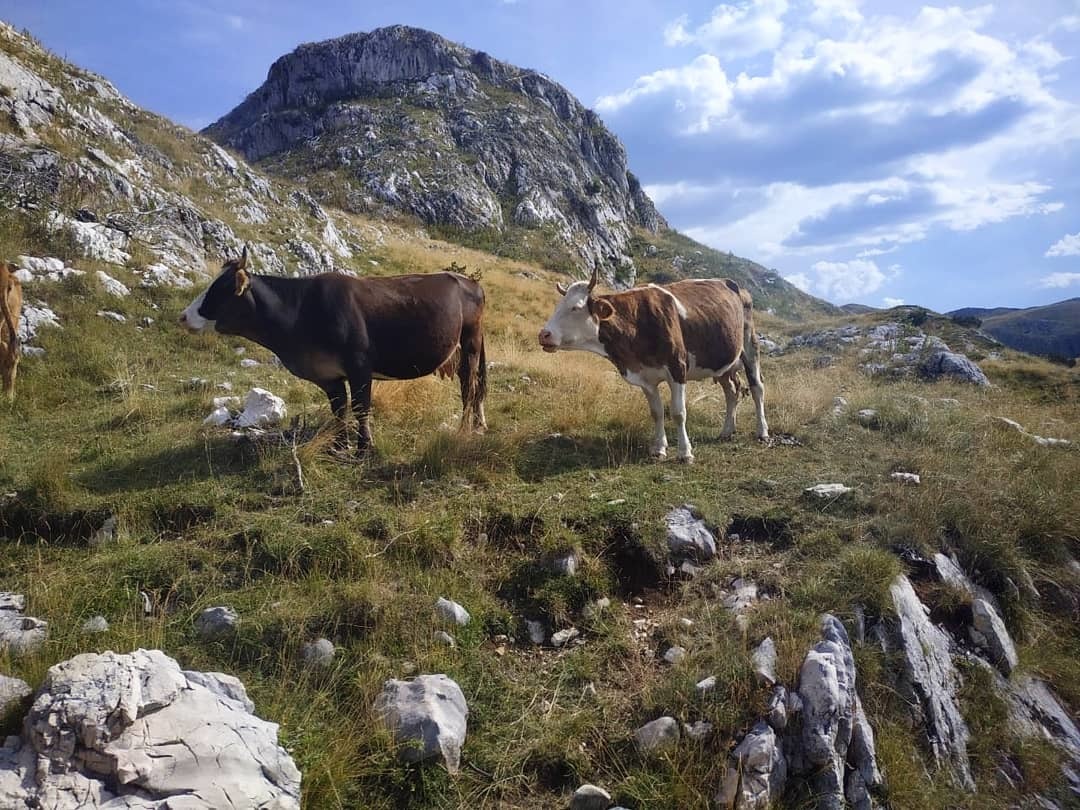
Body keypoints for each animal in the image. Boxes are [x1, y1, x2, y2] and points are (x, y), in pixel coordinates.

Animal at [180, 247, 486, 453]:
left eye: (220, 289)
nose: (183, 316)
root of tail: (468, 280)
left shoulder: (360, 366)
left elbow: (361, 407)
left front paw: (364, 449)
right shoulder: (328, 375)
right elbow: (339, 409)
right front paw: (338, 446)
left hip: (470, 342)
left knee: (469, 388)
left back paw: (464, 429)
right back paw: (478, 425)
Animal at [540, 271, 768, 466]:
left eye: (576, 307)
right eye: (558, 305)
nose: (543, 334)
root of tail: (734, 285)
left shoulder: (678, 368)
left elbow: (678, 412)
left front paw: (685, 453)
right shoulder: (644, 377)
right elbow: (657, 412)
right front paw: (659, 449)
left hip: (750, 345)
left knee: (756, 388)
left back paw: (762, 432)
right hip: (722, 363)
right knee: (732, 392)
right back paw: (727, 431)